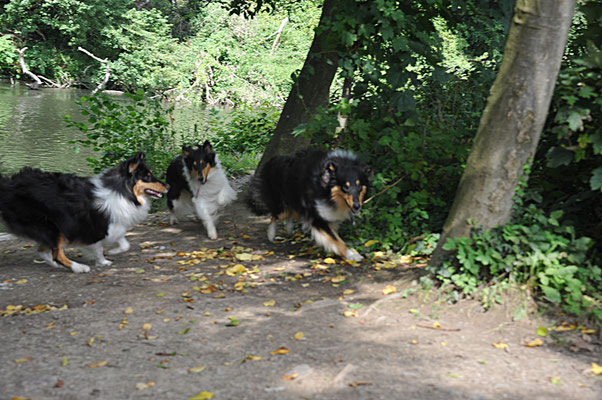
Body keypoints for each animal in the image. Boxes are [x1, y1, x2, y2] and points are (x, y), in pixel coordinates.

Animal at [0, 152, 168, 274]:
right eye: (147, 177)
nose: (168, 185)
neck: (121, 191)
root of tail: (8, 185)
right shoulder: (94, 227)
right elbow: (99, 248)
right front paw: (103, 261)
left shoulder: (113, 224)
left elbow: (124, 243)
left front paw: (114, 251)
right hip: (53, 227)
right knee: (57, 253)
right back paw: (78, 267)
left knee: (44, 251)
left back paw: (57, 265)